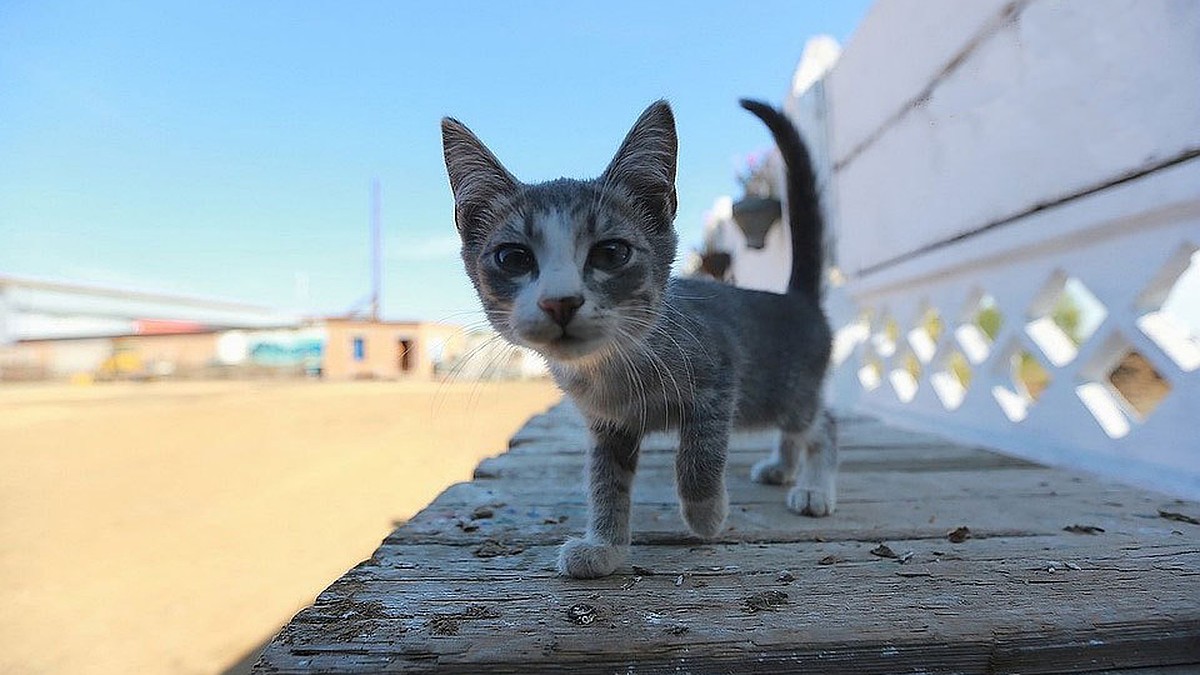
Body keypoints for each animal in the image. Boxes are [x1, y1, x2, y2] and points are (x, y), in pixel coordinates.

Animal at [441, 99, 835, 578]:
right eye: (512, 258)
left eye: (611, 253)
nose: (560, 302)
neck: (613, 366)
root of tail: (798, 300)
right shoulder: (608, 424)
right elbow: (605, 482)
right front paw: (604, 547)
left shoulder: (719, 374)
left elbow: (699, 454)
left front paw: (705, 513)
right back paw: (782, 466)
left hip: (787, 392)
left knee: (823, 425)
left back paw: (814, 488)